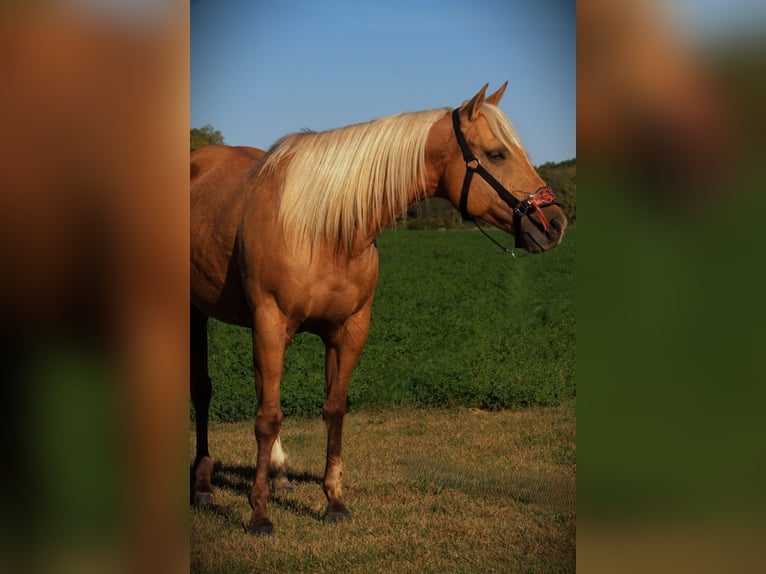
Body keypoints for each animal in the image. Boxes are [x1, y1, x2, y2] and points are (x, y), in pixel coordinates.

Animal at [190, 83, 567, 535]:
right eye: (496, 154)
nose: (555, 224)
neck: (324, 228)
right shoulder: (270, 323)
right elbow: (267, 418)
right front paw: (259, 513)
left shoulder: (348, 331)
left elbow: (333, 410)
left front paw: (334, 502)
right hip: (198, 313)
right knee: (204, 391)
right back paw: (203, 484)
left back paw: (279, 474)